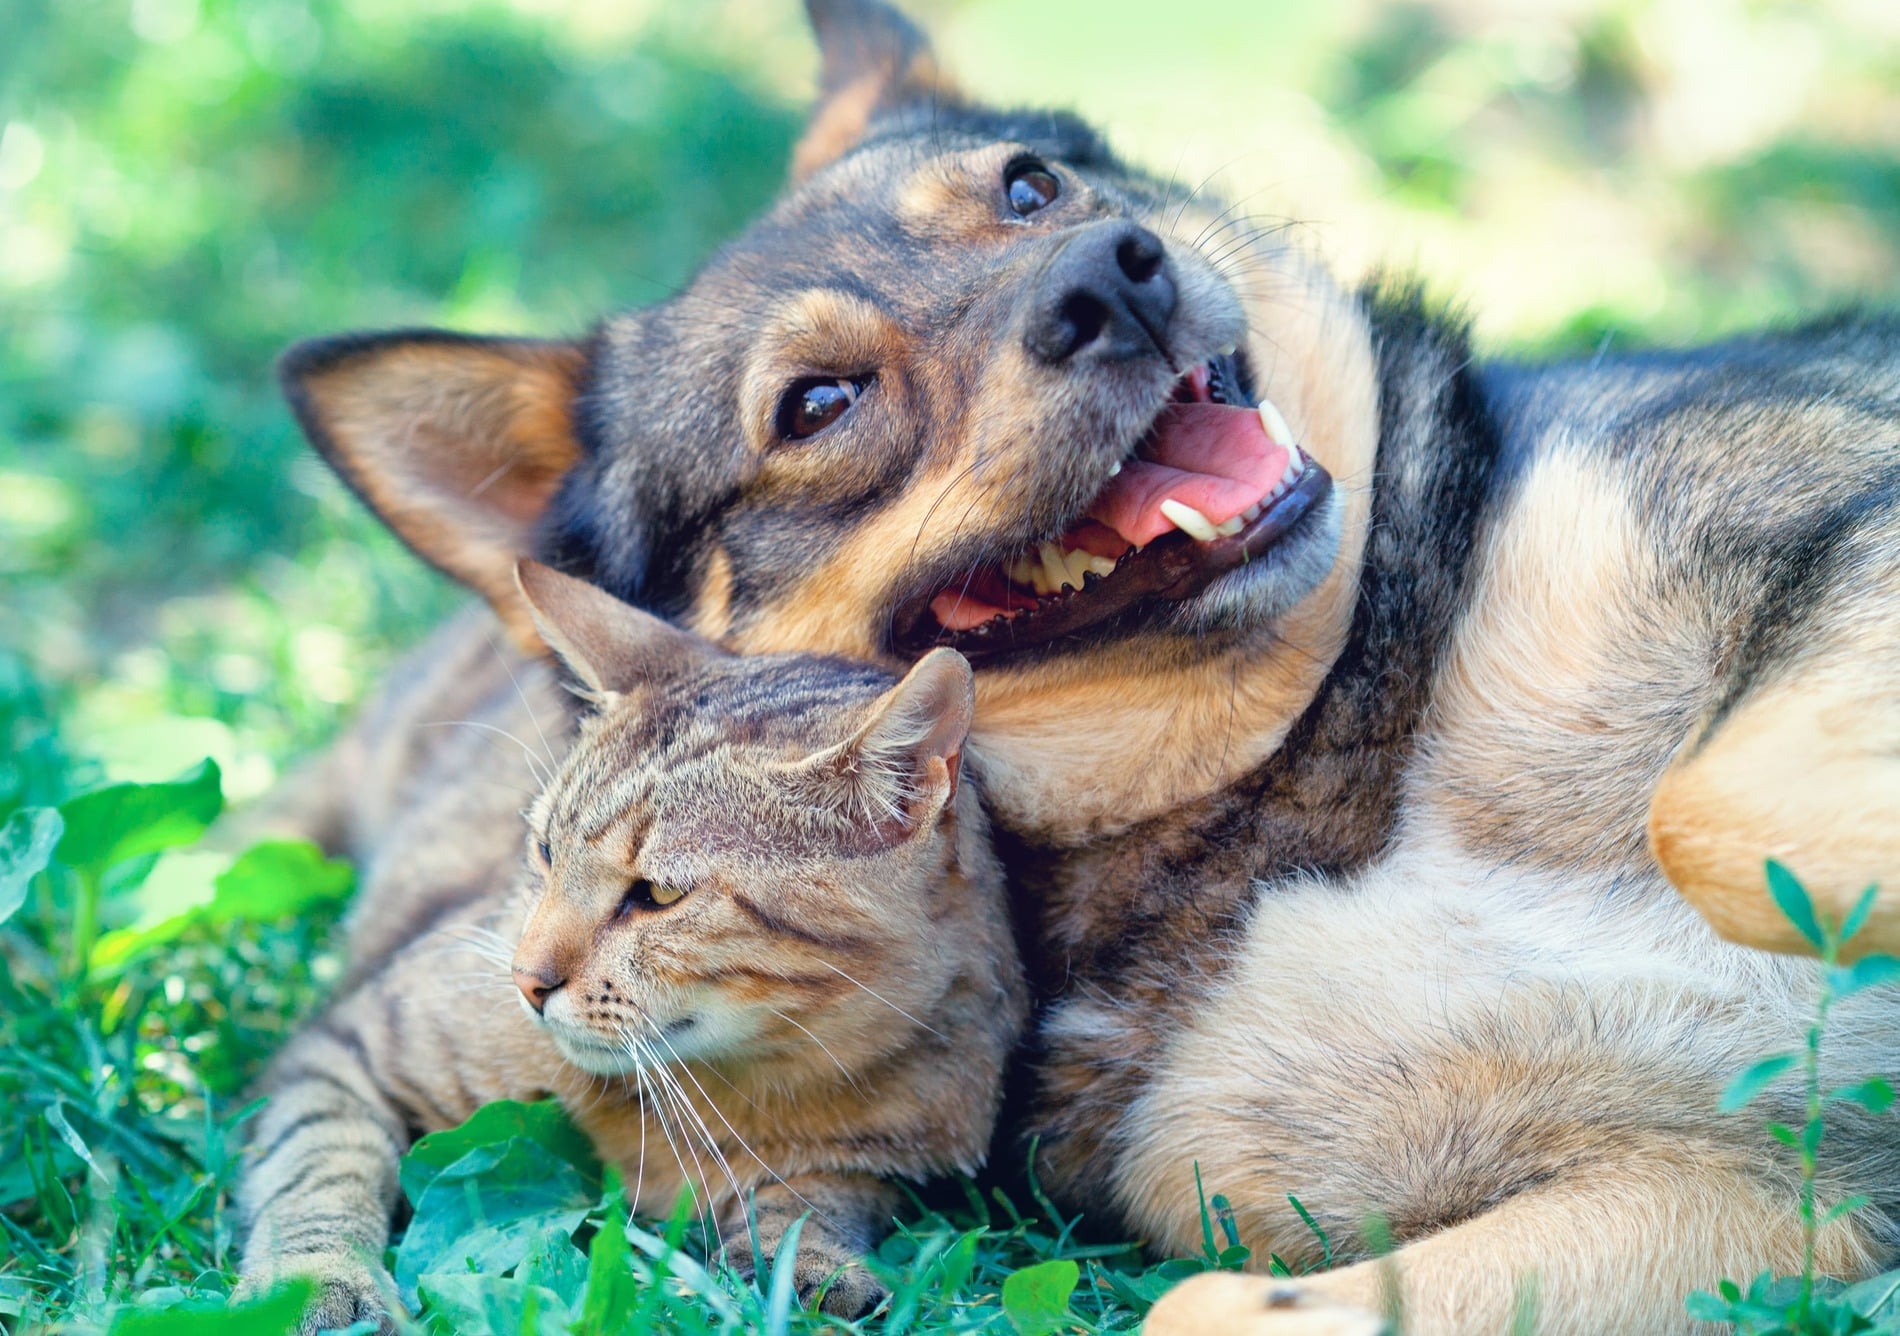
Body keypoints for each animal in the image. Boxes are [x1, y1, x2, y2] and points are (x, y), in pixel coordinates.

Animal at [237, 562, 1026, 1330]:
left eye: (658, 895)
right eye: (546, 850)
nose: (525, 980)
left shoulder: (877, 1166)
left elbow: (808, 1206)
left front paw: (808, 1269)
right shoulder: (350, 1046)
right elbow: (320, 1164)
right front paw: (317, 1282)